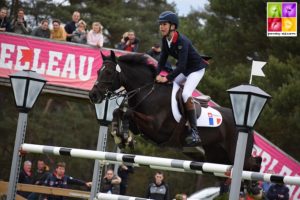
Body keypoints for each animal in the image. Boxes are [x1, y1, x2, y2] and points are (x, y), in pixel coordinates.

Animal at [89, 51, 260, 170]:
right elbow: (118, 112)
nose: (93, 95)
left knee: (253, 164)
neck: (148, 91)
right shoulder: (140, 126)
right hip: (217, 156)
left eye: (109, 72)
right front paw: (121, 136)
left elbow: (128, 112)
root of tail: (249, 129)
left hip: (235, 154)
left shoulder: (156, 128)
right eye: (97, 72)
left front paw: (124, 137)